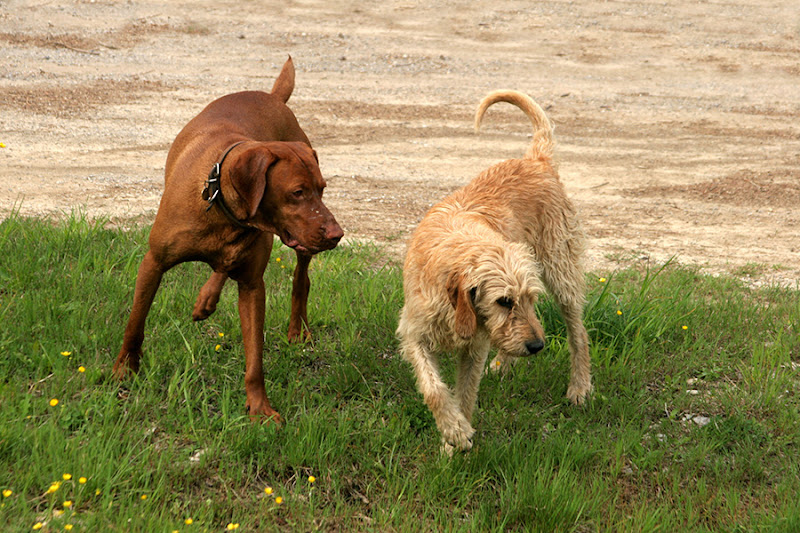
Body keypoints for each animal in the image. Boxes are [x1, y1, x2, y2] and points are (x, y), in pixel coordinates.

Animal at [111, 58, 340, 422]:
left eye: (322, 189)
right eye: (297, 192)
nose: (337, 234)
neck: (223, 209)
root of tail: (272, 96)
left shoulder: (252, 286)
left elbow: (255, 359)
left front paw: (259, 408)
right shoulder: (153, 262)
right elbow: (135, 322)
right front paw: (125, 370)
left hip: (297, 250)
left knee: (300, 279)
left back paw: (295, 328)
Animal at [396, 89, 592, 450]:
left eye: (529, 298)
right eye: (504, 301)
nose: (537, 347)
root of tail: (536, 161)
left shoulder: (474, 349)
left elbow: (465, 395)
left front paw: (453, 441)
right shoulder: (414, 333)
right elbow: (434, 389)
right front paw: (453, 431)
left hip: (561, 272)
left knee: (578, 333)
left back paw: (580, 386)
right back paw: (505, 363)